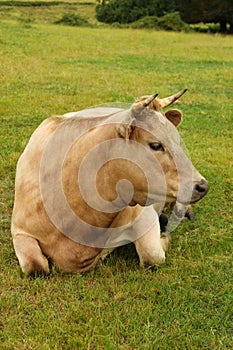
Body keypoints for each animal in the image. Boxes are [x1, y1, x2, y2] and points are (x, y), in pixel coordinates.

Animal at [10, 91, 208, 276]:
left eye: (178, 141)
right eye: (156, 145)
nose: (203, 186)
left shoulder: (143, 214)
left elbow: (152, 256)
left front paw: (165, 236)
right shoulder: (19, 231)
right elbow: (35, 267)